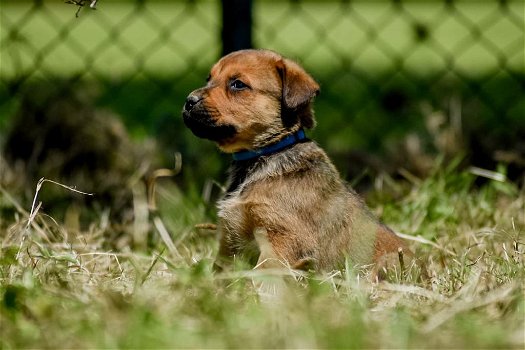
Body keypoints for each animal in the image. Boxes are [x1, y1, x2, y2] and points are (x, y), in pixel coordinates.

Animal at [182, 49, 412, 278]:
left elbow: (262, 272)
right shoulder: (230, 242)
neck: (269, 152)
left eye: (238, 84)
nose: (188, 101)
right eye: (209, 79)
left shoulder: (282, 238)